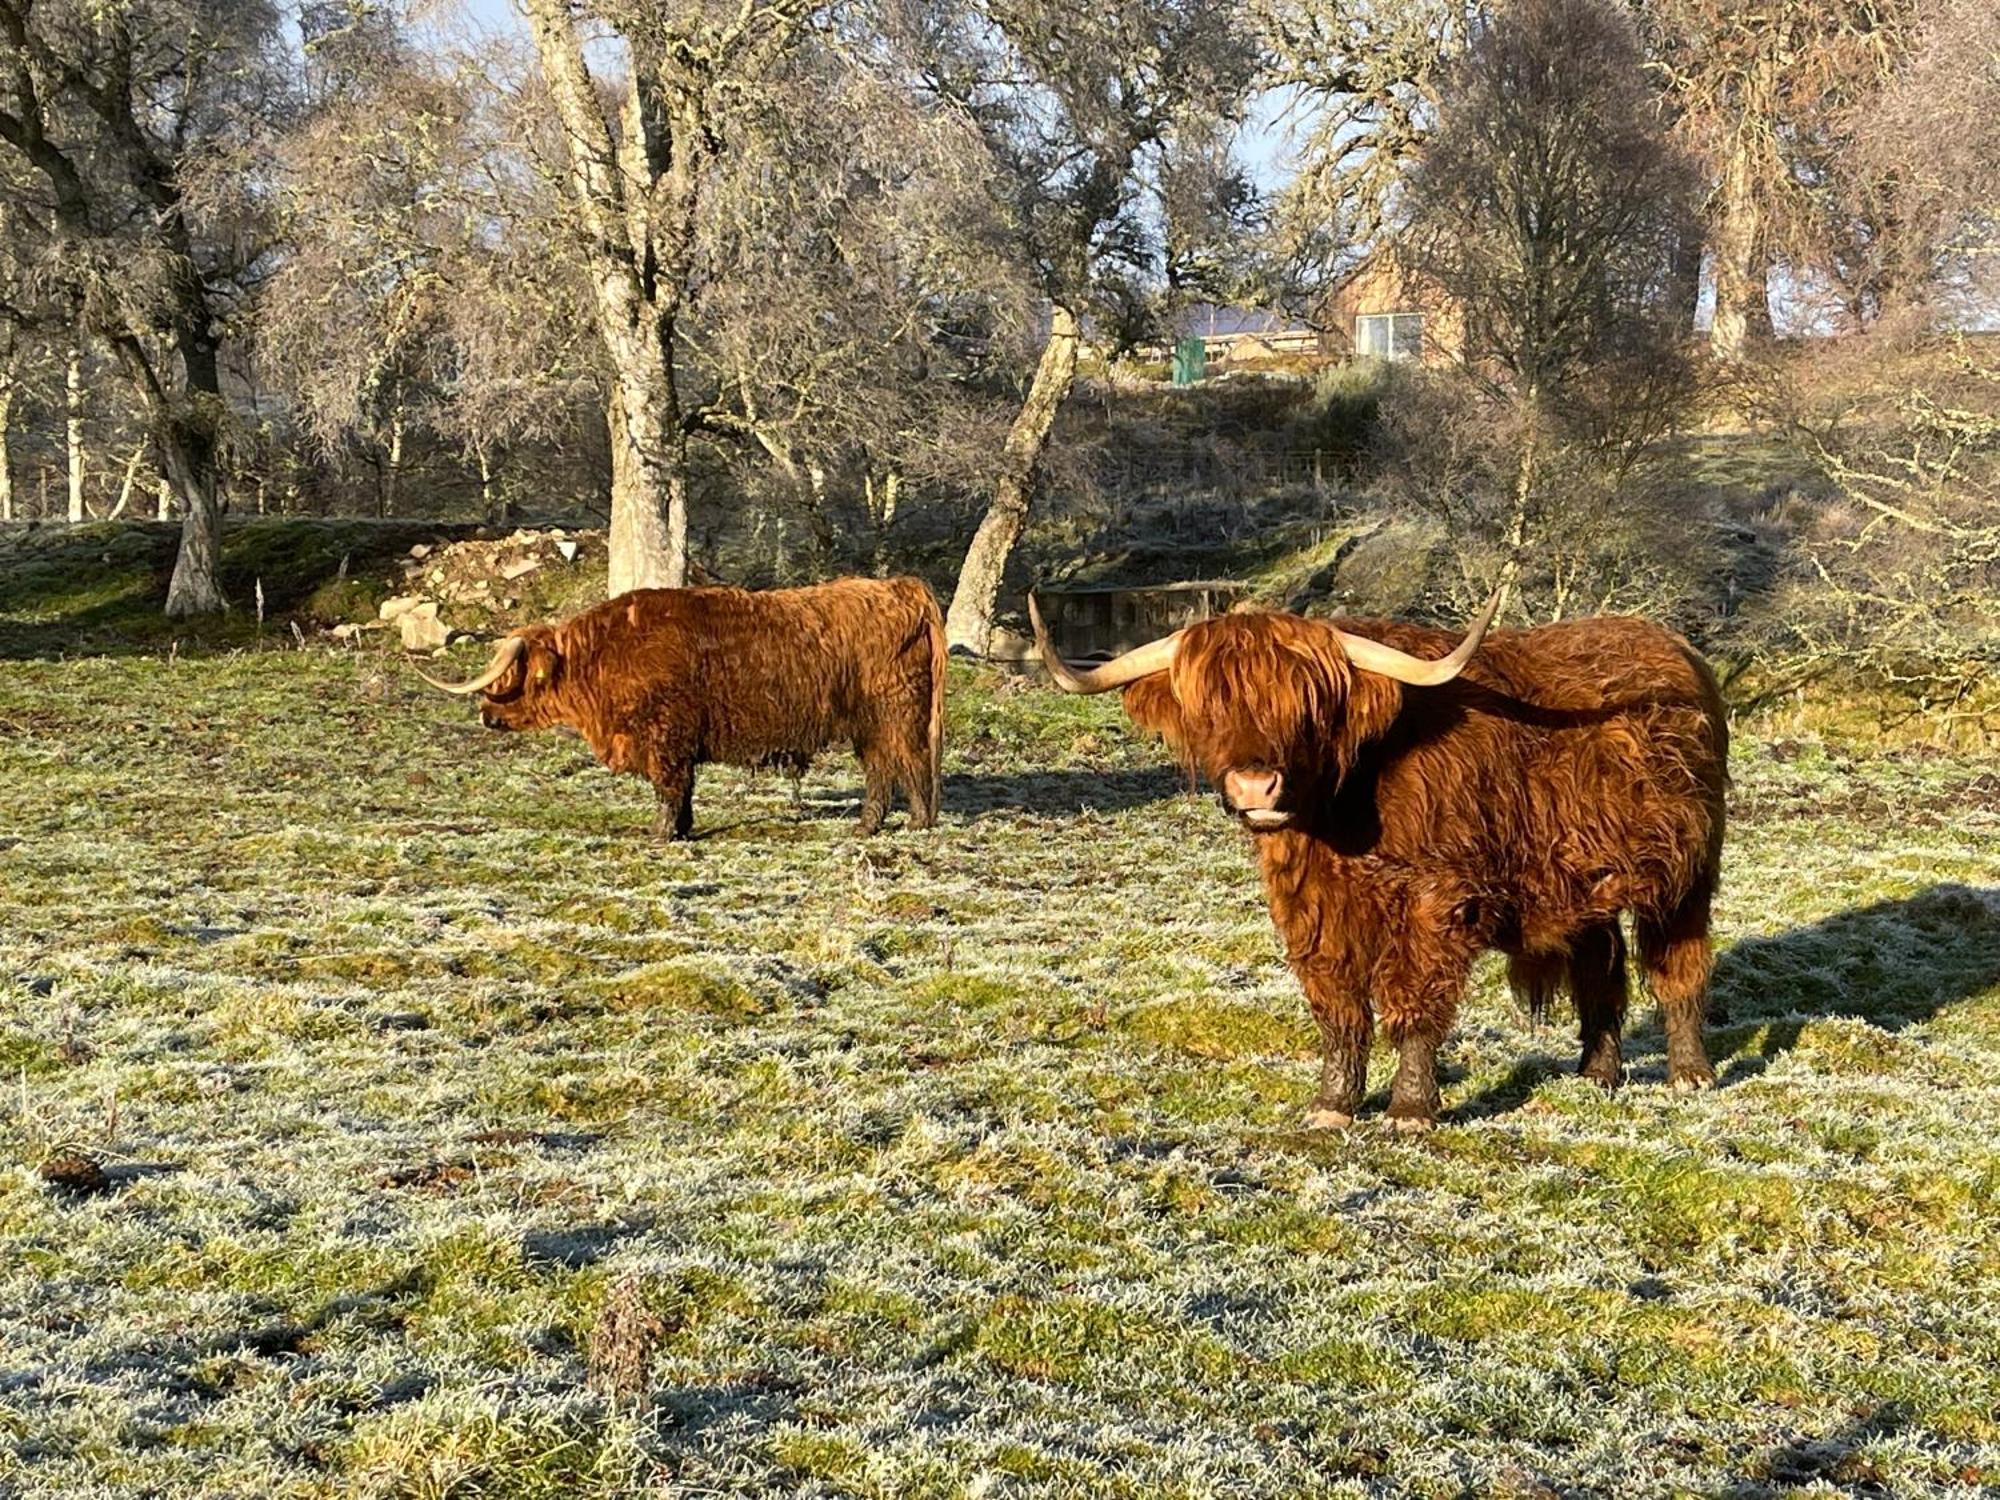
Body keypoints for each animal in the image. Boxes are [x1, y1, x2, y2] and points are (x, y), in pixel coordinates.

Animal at [420, 580, 944, 840]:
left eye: (510, 675)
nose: (486, 714)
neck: (602, 657)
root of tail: (902, 587)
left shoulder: (664, 736)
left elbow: (668, 789)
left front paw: (661, 833)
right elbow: (684, 790)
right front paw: (684, 829)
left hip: (895, 711)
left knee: (911, 762)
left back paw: (917, 823)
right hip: (869, 724)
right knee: (882, 768)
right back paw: (868, 825)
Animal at [1024, 592, 1728, 1136]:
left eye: (1308, 706)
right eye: (1212, 707)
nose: (1255, 786)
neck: (1341, 812)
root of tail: (1677, 647)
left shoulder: (1435, 902)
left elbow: (1412, 997)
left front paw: (1410, 1110)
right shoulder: (1310, 906)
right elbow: (1336, 1005)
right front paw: (1333, 1104)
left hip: (1690, 872)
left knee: (1678, 965)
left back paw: (1690, 1074)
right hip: (1585, 880)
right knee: (1600, 969)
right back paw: (1596, 1075)